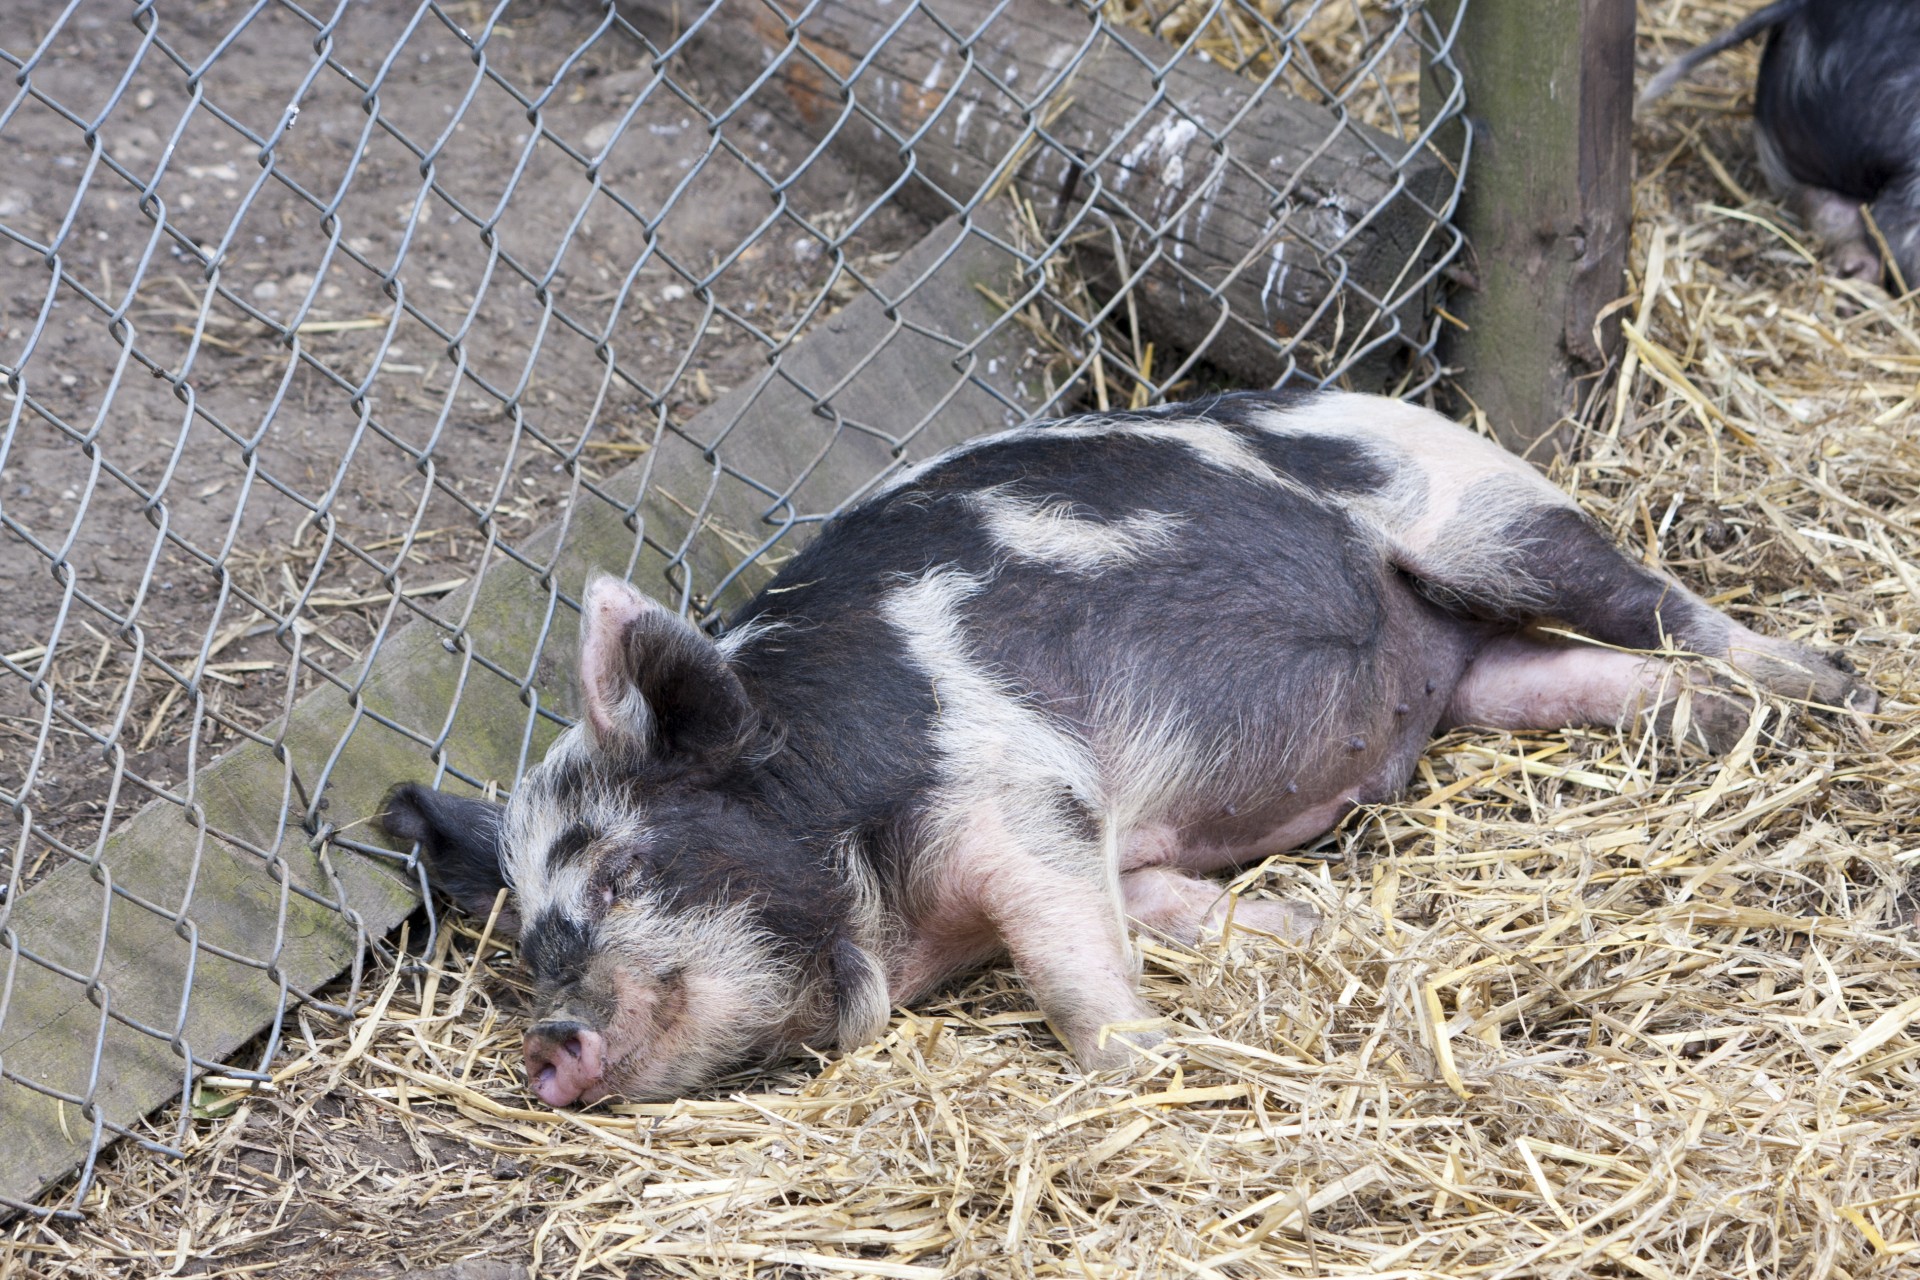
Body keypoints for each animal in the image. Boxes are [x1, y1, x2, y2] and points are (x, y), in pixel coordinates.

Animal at [378, 385, 1873, 1105]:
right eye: (529, 944)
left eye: (622, 871)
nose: (549, 1042)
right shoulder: (1111, 841)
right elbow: (1160, 906)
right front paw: (1313, 936)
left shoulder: (1025, 787)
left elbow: (1067, 960)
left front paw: (1149, 1069)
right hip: (1475, 669)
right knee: (1575, 676)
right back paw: (1728, 724)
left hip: (1485, 515)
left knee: (1661, 606)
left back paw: (1826, 687)